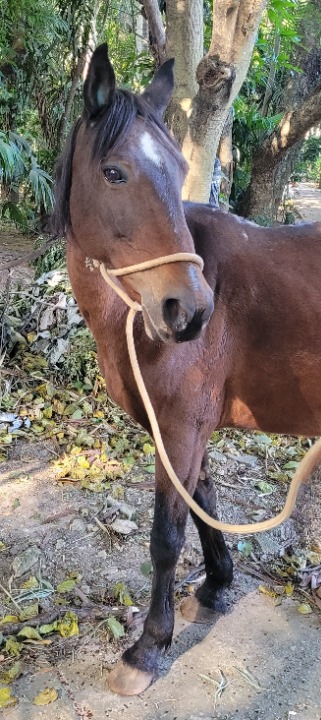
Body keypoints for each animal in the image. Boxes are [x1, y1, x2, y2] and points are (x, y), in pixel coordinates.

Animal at [50, 43, 321, 692]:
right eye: (114, 172)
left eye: (176, 170)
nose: (191, 310)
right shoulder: (185, 429)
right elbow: (206, 505)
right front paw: (218, 586)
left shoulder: (179, 427)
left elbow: (167, 535)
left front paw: (148, 647)